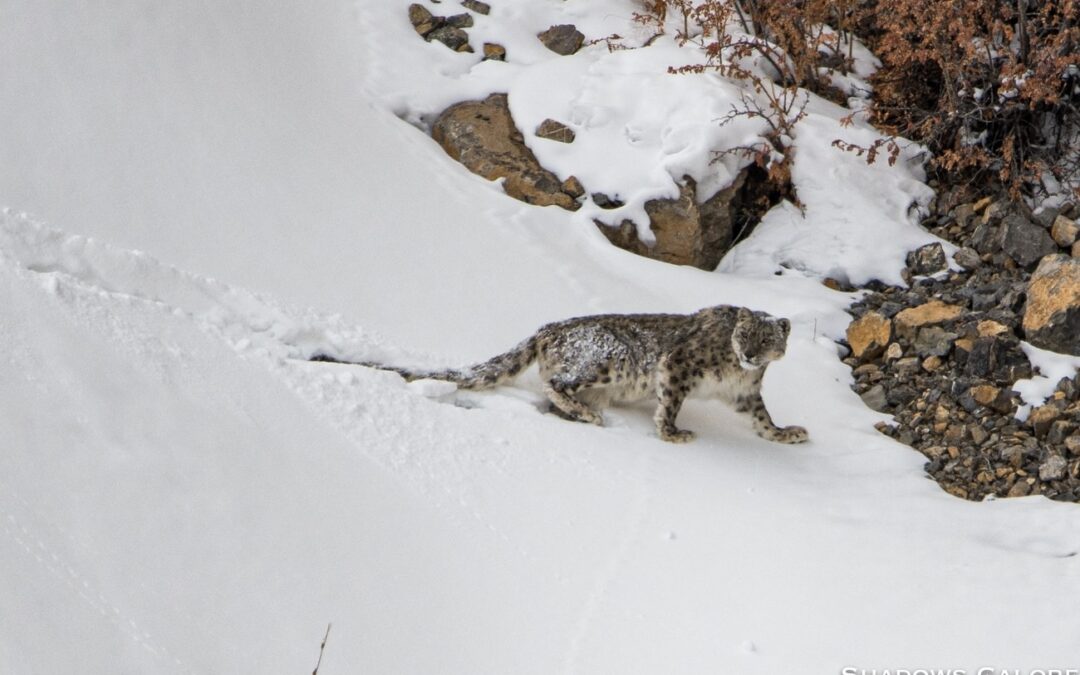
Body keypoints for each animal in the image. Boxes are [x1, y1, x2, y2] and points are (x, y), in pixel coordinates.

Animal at [311, 305, 808, 444]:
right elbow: (669, 403)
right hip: (610, 359)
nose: (748, 354)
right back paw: (589, 416)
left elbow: (762, 418)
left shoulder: (746, 395)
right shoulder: (679, 367)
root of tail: (549, 328)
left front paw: (787, 433)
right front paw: (673, 433)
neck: (736, 374)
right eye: (743, 333)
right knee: (557, 384)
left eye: (767, 339)